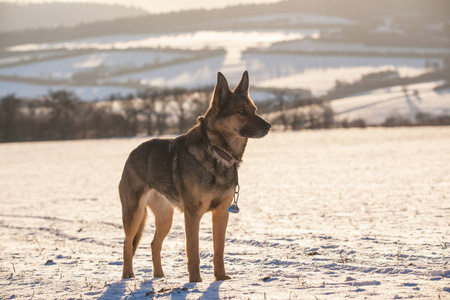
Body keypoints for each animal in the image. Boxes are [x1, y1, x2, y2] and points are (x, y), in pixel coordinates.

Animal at [118, 71, 270, 282]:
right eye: (241, 111)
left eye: (254, 110)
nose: (269, 126)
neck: (218, 151)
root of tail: (132, 153)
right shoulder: (192, 215)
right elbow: (193, 251)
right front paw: (195, 281)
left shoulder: (221, 213)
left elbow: (219, 250)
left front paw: (221, 278)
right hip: (134, 213)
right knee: (127, 243)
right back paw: (128, 275)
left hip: (165, 218)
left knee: (154, 244)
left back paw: (159, 277)